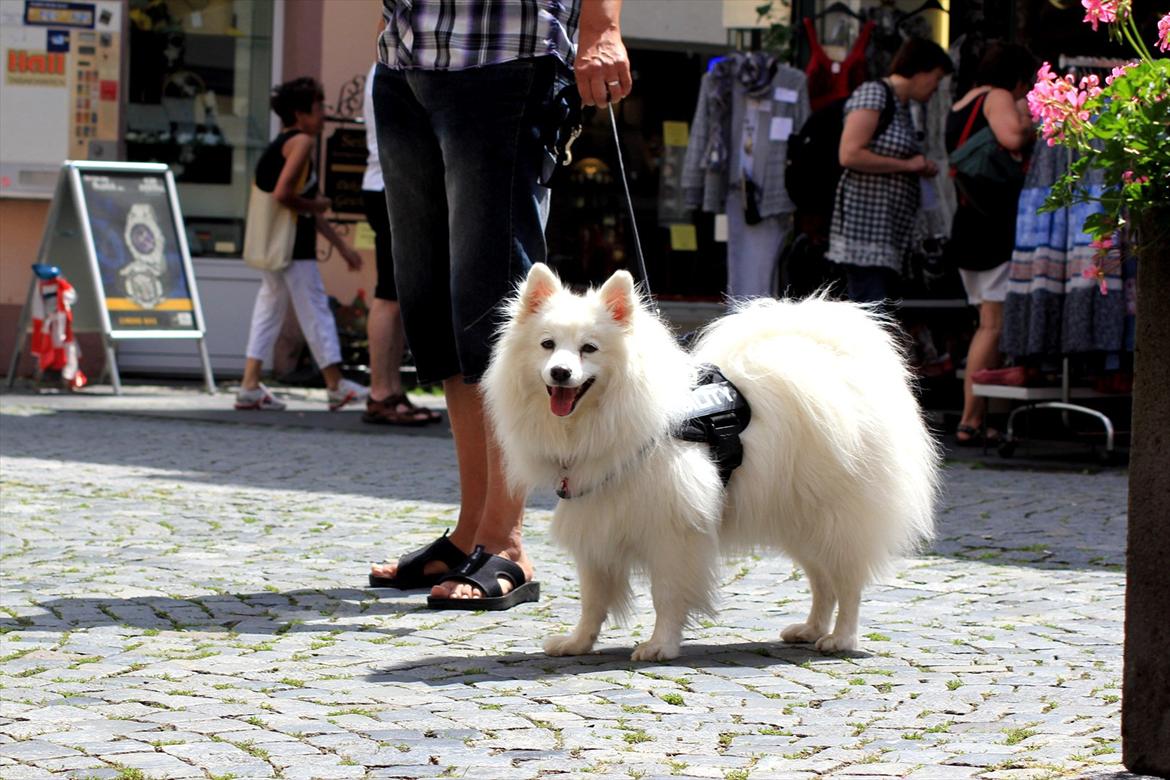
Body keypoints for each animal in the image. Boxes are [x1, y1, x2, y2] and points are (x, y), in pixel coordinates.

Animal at [479, 265, 935, 664]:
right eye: (547, 345)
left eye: (589, 348)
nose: (560, 372)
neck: (608, 419)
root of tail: (840, 363)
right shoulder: (598, 522)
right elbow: (592, 598)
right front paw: (577, 644)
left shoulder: (673, 531)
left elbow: (666, 595)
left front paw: (660, 646)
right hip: (800, 518)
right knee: (822, 581)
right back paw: (810, 629)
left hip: (835, 517)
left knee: (848, 581)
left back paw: (840, 638)